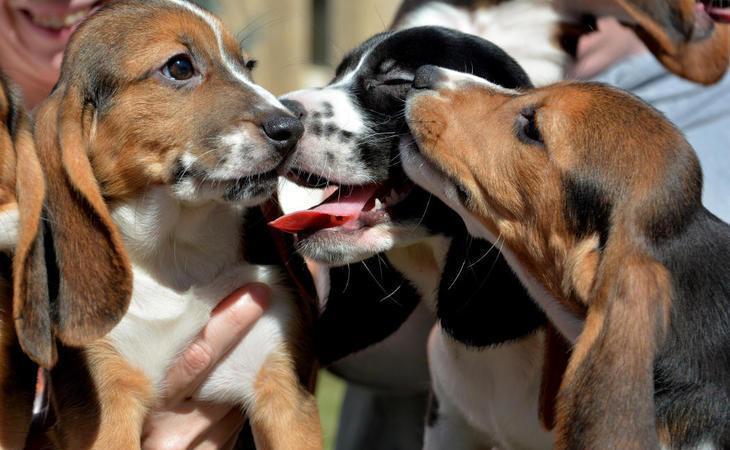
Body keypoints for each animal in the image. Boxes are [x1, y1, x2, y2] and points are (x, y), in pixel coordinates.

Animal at [14, 1, 320, 448]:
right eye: (179, 67)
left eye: (248, 66)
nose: (294, 128)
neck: (175, 250)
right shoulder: (108, 409)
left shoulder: (284, 393)